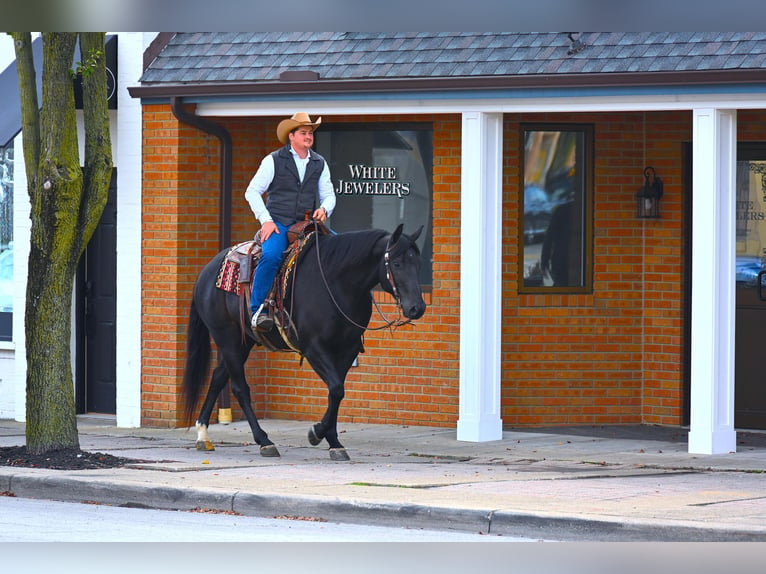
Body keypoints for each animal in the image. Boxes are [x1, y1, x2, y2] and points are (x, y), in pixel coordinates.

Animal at [183, 225, 428, 464]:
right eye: (396, 263)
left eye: (418, 263)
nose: (417, 308)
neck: (337, 283)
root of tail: (205, 273)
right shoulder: (314, 348)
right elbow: (336, 389)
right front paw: (317, 433)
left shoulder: (346, 350)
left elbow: (335, 392)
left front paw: (333, 442)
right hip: (228, 338)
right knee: (239, 388)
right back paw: (264, 441)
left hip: (243, 343)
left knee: (218, 377)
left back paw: (203, 434)